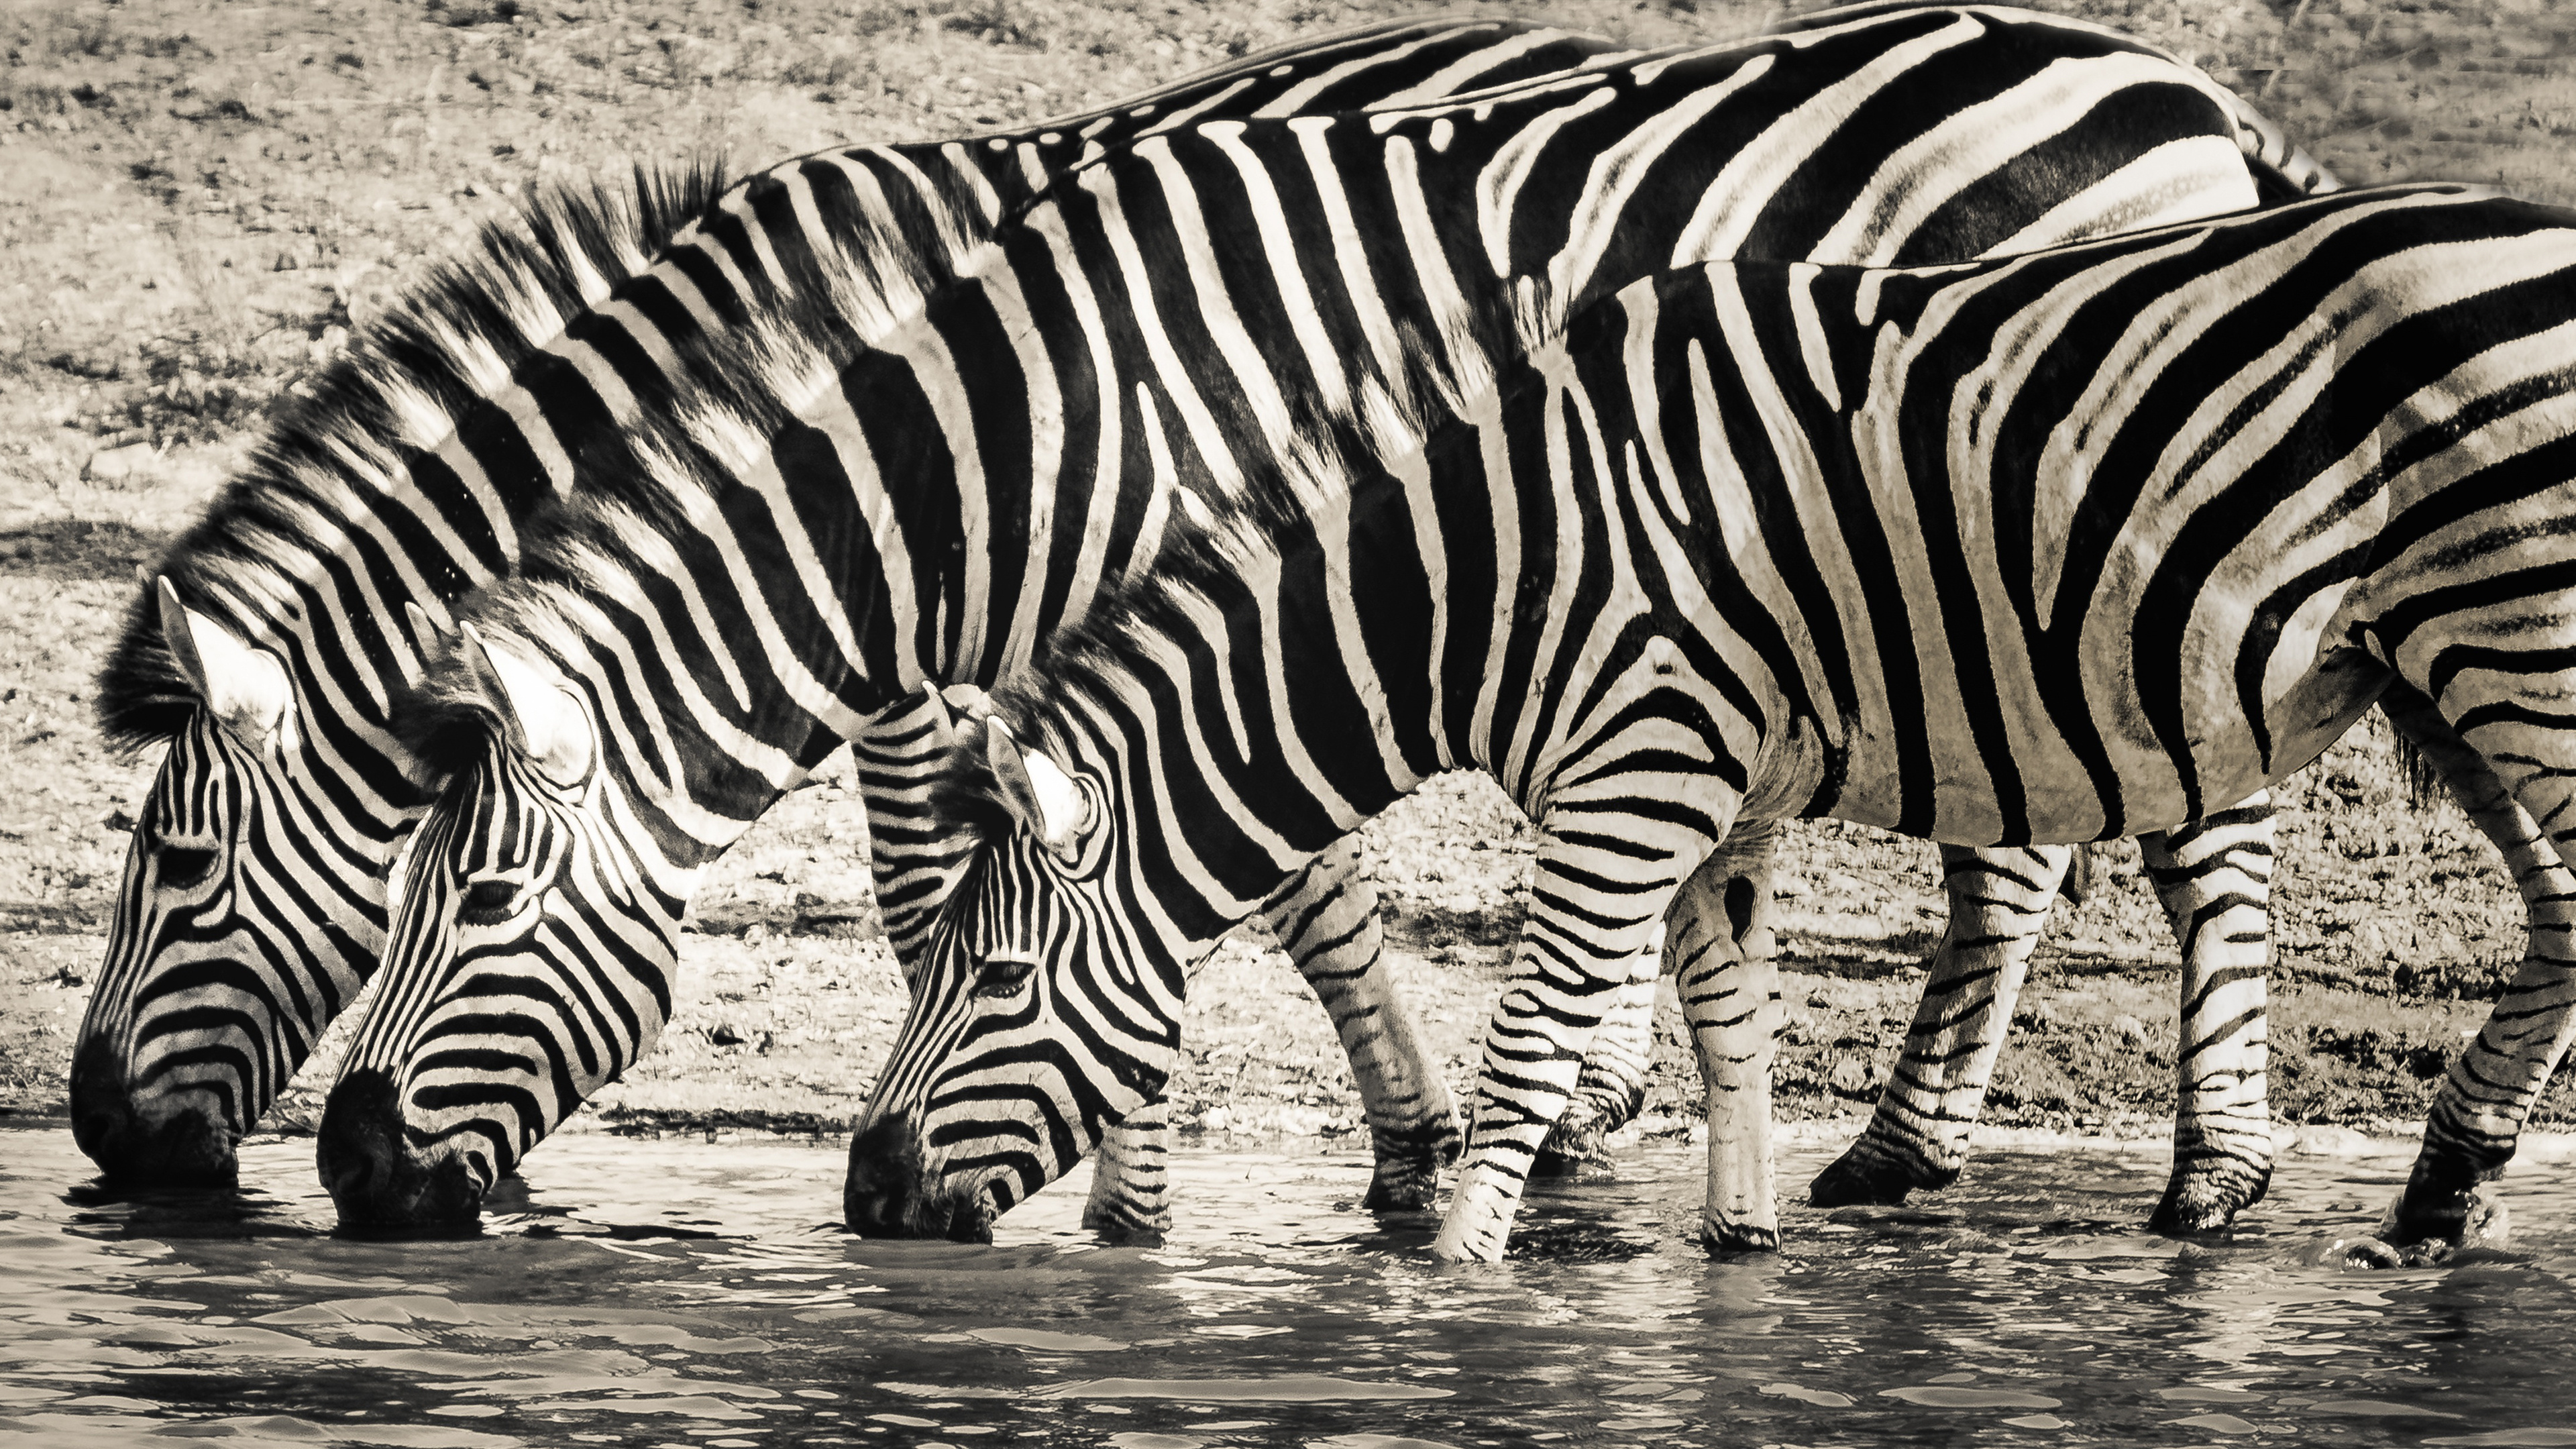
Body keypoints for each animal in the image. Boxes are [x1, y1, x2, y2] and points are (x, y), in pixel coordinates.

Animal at [311, 5, 2349, 1222]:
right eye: (380, 893)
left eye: (471, 905)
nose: (341, 1168)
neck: (987, 435)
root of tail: (2200, 102)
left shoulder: (1158, 595)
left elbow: (1179, 874)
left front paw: (1158, 1194)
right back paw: (1883, 1146)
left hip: (2094, 533)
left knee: (2187, 838)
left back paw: (2203, 1176)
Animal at [839, 178, 2576, 1252]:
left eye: (993, 980)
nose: (860, 1197)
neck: (1487, 571)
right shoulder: (1704, 789)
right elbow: (1732, 1023)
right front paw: (1739, 1251)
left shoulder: (1635, 776)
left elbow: (1531, 1045)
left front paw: (1445, 1285)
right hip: (2447, 663)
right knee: (2558, 908)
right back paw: (2445, 1184)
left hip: (2519, 639)